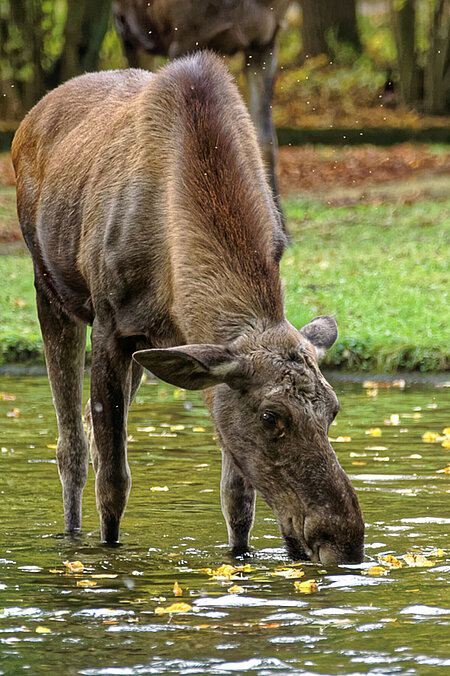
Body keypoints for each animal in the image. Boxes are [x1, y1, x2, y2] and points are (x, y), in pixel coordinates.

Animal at [12, 51, 364, 564]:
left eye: (334, 409)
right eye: (271, 416)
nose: (344, 539)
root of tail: (28, 119)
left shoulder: (200, 355)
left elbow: (237, 499)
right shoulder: (110, 326)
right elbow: (113, 482)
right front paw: (108, 551)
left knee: (89, 435)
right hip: (51, 291)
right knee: (72, 447)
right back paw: (71, 534)